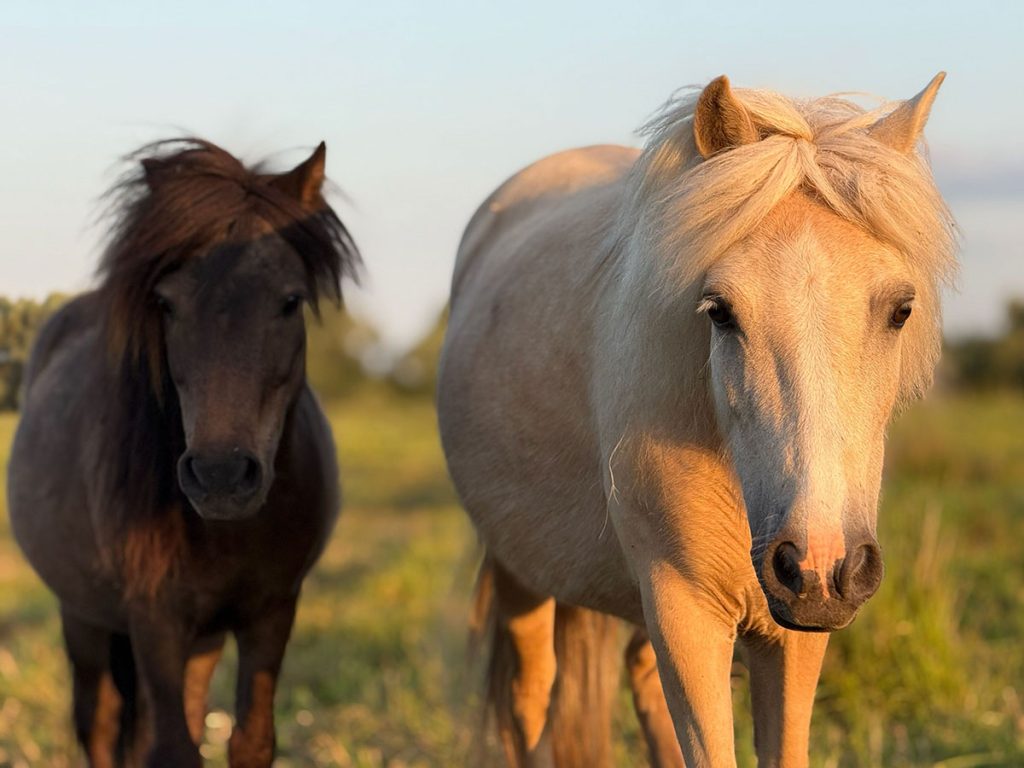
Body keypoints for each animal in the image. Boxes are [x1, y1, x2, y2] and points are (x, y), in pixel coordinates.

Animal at [7, 138, 359, 767]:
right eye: (167, 305)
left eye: (291, 301)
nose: (221, 475)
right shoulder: (155, 619)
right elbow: (170, 747)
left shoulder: (271, 612)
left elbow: (249, 740)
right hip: (84, 618)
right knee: (100, 723)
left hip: (203, 637)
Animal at [438, 73, 956, 767]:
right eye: (719, 311)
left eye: (901, 310)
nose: (818, 564)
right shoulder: (685, 615)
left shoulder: (795, 633)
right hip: (518, 571)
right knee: (529, 700)